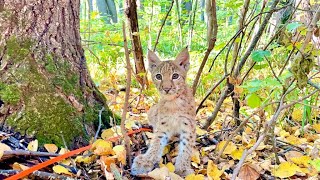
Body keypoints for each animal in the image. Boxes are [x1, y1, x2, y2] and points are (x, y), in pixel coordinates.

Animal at [130, 47, 195, 176]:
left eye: (175, 76)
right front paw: (146, 161)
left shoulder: (188, 125)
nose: (166, 89)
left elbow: (187, 147)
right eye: (158, 76)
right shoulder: (163, 124)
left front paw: (183, 167)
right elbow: (156, 142)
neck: (173, 102)